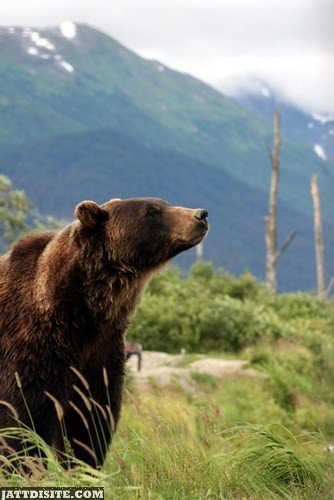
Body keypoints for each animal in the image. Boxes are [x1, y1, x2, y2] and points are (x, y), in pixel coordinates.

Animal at [0, 198, 207, 468]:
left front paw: (83, 465)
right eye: (152, 211)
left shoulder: (99, 355)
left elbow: (90, 421)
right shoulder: (30, 348)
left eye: (163, 203)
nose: (200, 215)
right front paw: (25, 466)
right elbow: (22, 421)